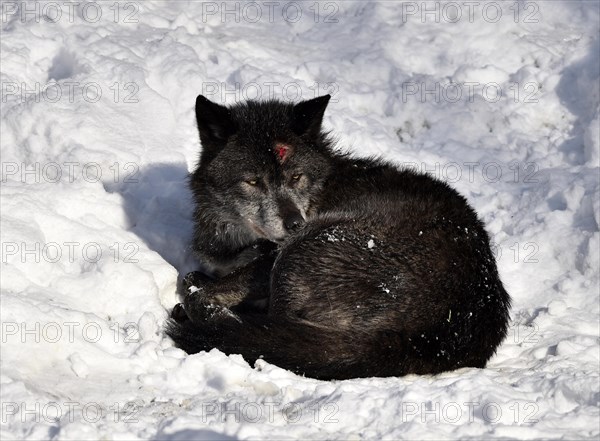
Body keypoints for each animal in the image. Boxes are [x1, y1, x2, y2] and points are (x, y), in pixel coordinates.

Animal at [165, 94, 510, 380]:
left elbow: (202, 287)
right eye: (252, 181)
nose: (294, 222)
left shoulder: (269, 259)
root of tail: (437, 331)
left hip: (304, 248)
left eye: (296, 176)